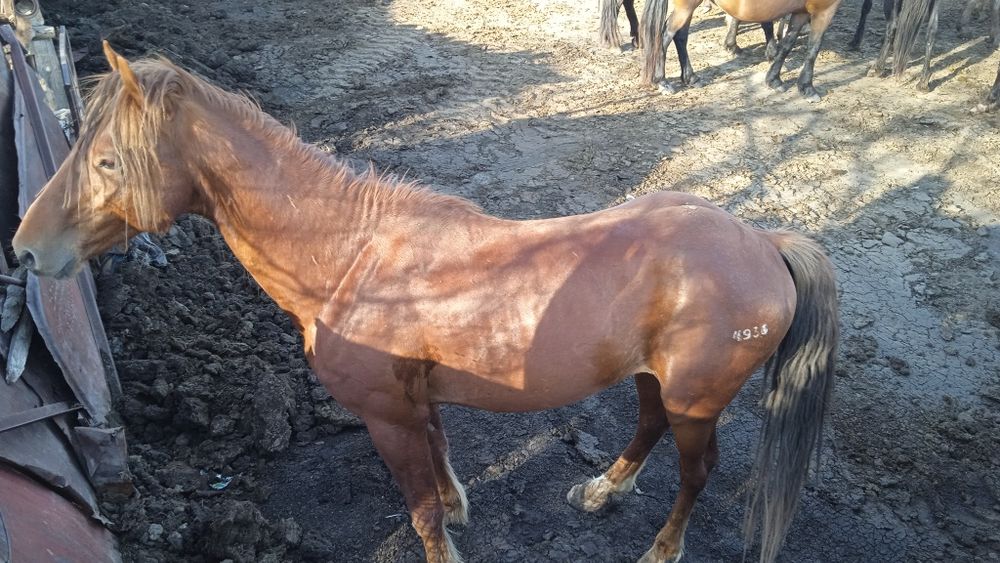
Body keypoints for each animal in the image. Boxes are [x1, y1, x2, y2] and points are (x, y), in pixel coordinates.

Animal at [13, 43, 839, 563]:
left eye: (108, 160)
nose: (25, 248)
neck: (352, 257)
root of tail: (761, 241)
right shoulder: (417, 400)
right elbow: (441, 464)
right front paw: (460, 502)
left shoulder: (386, 414)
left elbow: (417, 509)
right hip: (650, 377)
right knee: (647, 424)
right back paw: (604, 489)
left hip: (698, 397)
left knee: (697, 472)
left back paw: (660, 548)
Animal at [640, 0, 845, 101]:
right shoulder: (824, 10)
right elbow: (813, 48)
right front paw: (807, 87)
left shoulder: (801, 11)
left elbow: (788, 43)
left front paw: (774, 79)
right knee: (665, 36)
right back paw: (661, 81)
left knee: (680, 36)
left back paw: (691, 77)